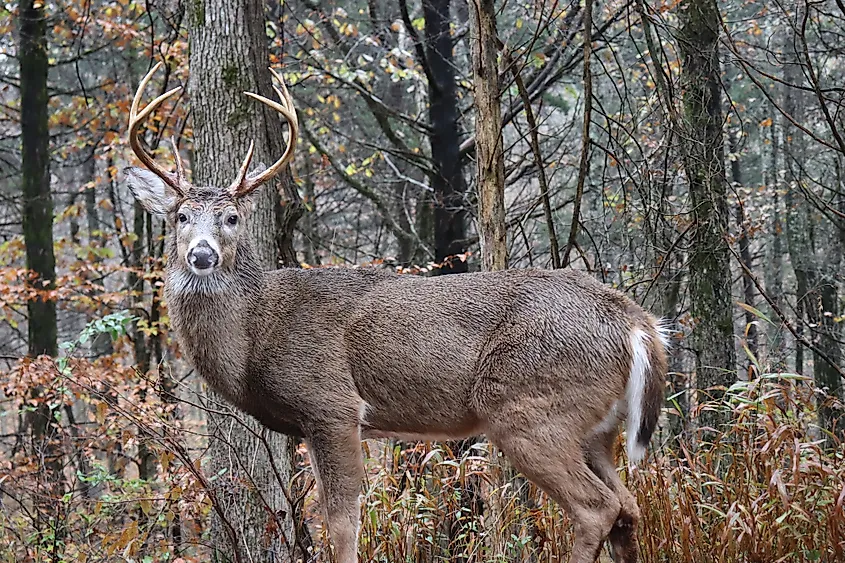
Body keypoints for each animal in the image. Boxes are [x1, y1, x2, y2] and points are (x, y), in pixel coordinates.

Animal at [125, 61, 664, 563]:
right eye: (180, 216)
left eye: (233, 218)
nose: (202, 254)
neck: (257, 331)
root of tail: (636, 322)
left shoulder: (332, 405)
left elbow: (342, 522)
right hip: (595, 428)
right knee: (628, 507)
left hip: (528, 408)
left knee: (596, 507)